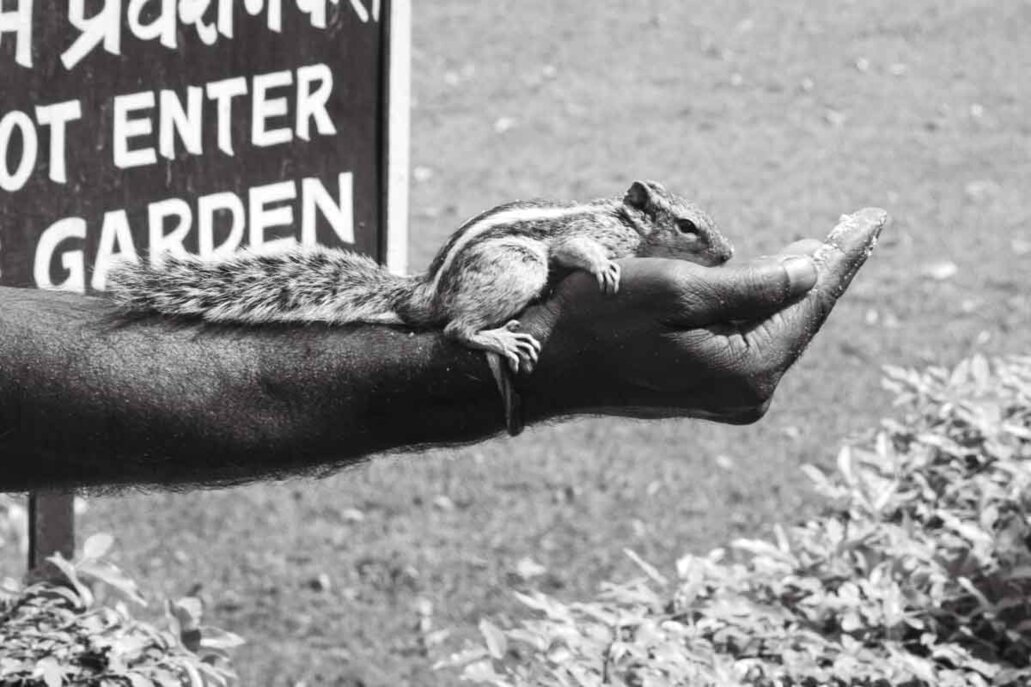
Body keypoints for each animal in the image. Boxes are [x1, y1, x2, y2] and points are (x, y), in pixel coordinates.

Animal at [106, 180, 733, 372]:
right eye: (686, 225)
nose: (728, 254)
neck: (620, 216)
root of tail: (425, 295)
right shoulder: (581, 235)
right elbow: (579, 249)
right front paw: (603, 268)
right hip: (518, 267)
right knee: (455, 329)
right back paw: (495, 337)